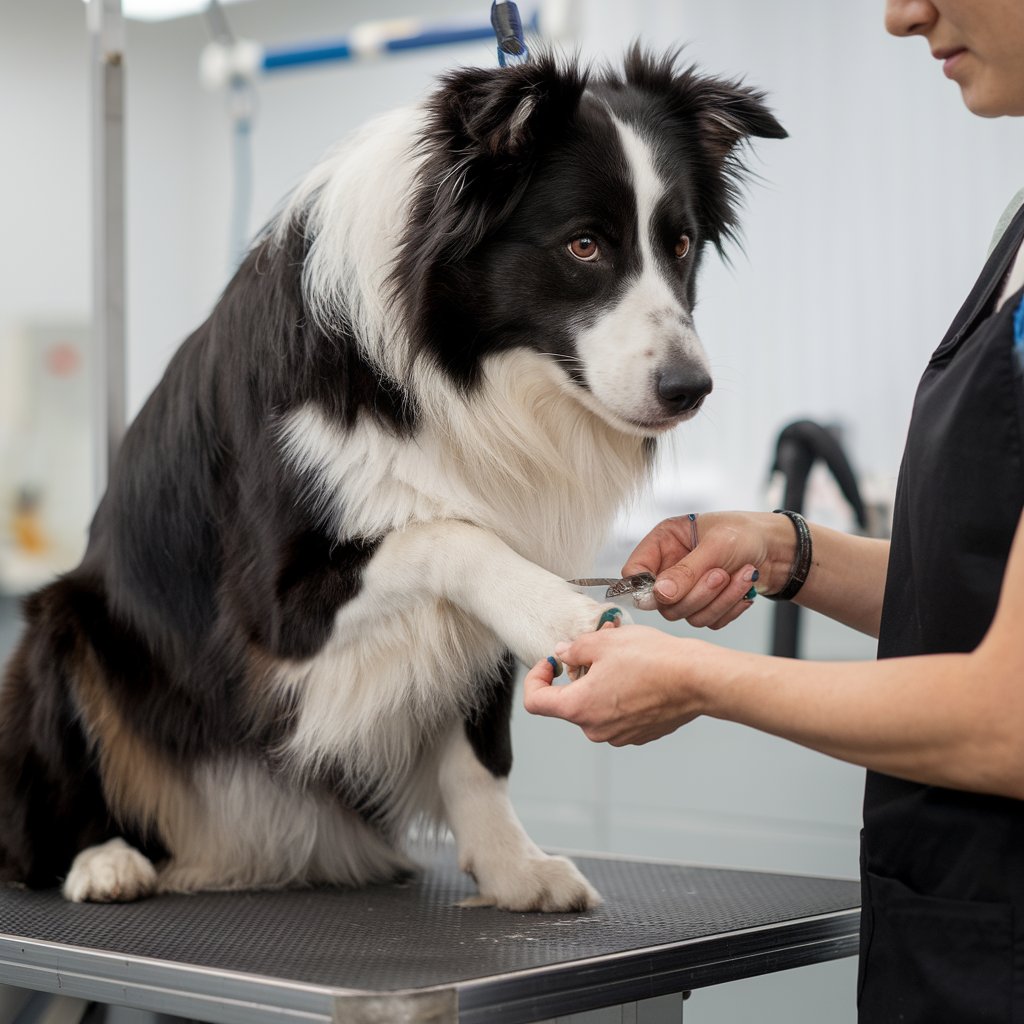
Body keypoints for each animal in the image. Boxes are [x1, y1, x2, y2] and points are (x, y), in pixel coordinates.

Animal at [0, 48, 782, 913]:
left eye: (679, 246)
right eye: (584, 246)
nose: (690, 389)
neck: (455, 371)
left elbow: (480, 747)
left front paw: (512, 869)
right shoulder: (273, 610)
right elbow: (448, 531)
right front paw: (556, 611)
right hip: (60, 631)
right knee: (43, 823)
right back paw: (103, 861)